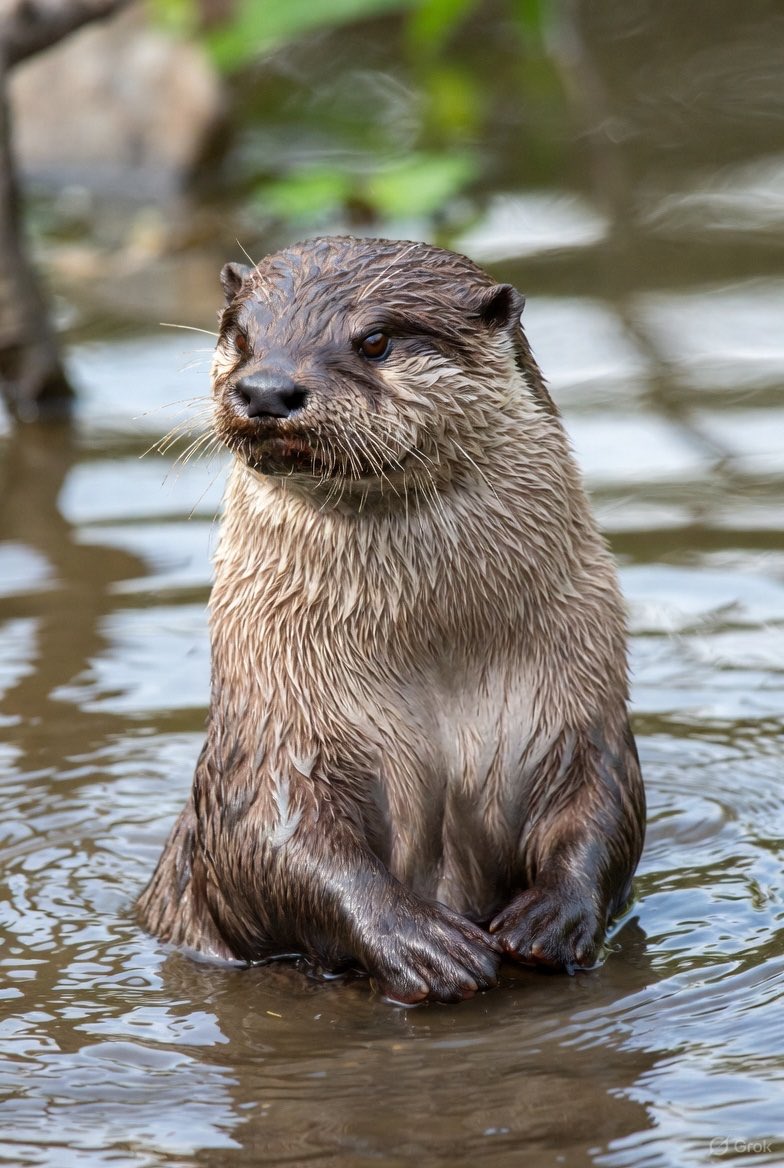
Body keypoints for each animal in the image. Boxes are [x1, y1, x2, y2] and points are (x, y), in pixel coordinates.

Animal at [137, 235, 645, 1004]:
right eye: (241, 334)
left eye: (375, 339)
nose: (266, 389)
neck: (434, 655)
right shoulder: (273, 739)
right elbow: (273, 844)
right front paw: (421, 944)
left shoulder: (580, 715)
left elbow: (607, 806)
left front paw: (554, 916)